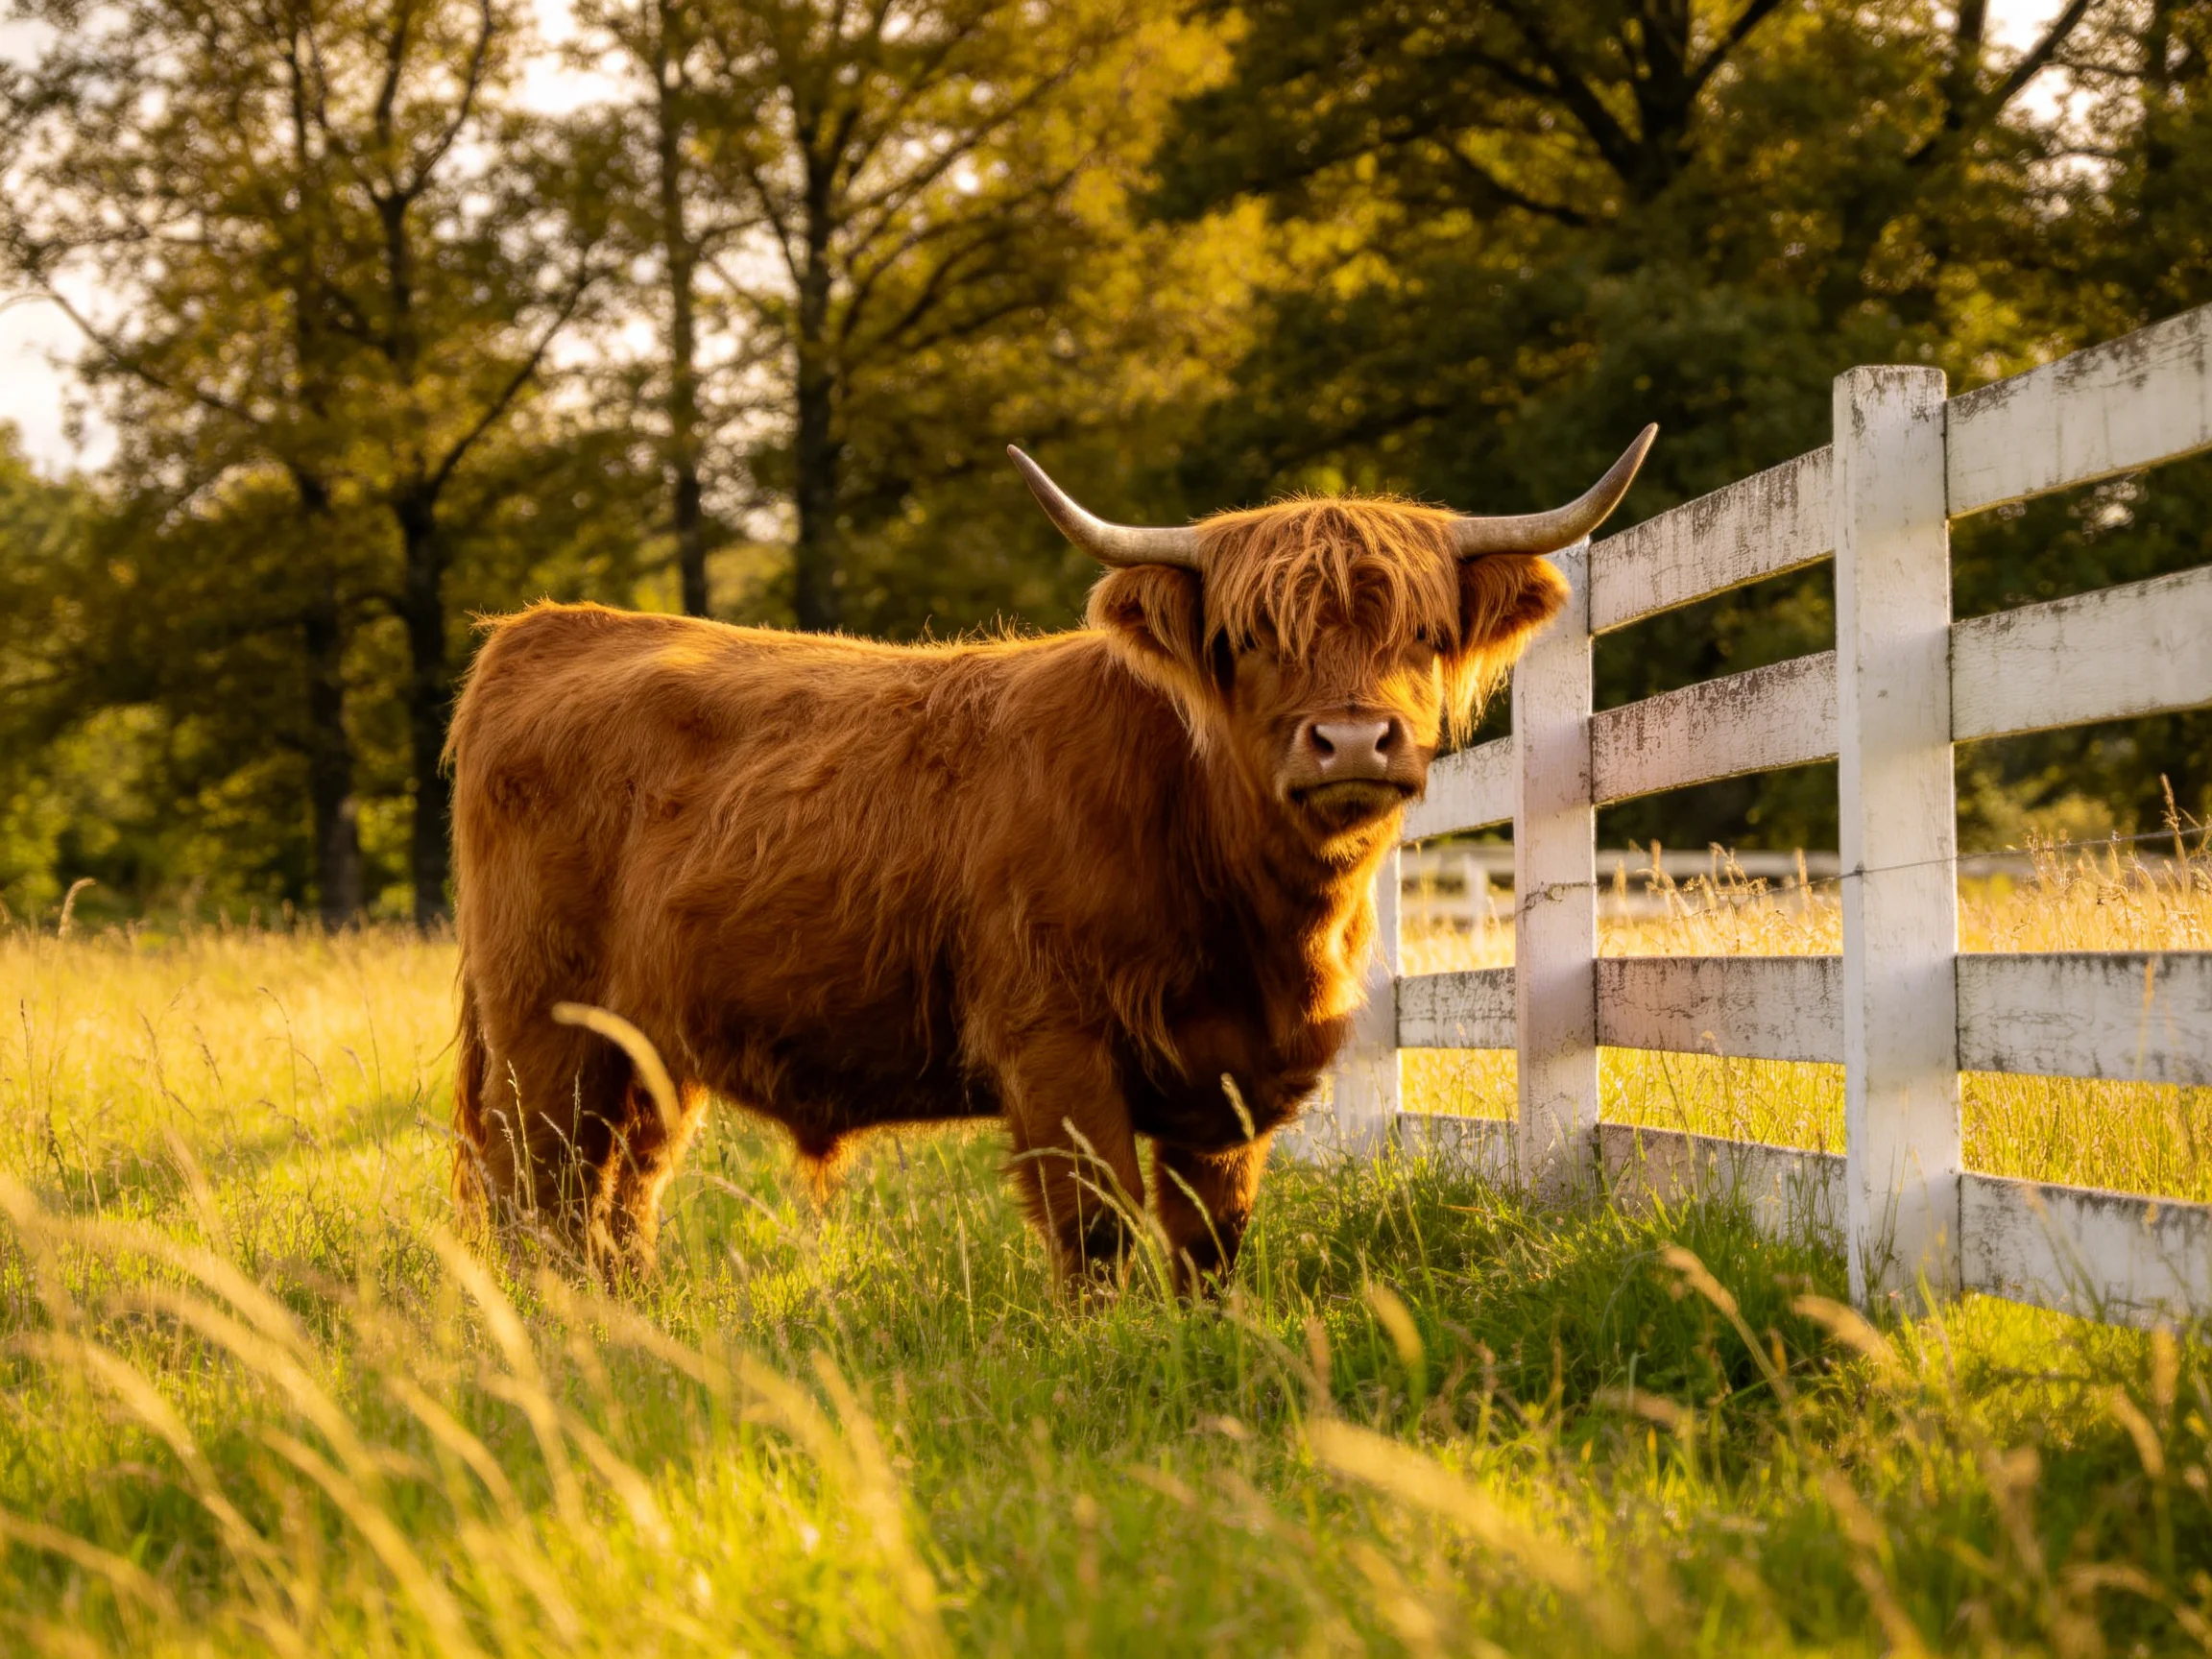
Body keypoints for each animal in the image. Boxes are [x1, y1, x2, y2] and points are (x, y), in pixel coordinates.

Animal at [445, 430, 1654, 1292]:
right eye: (1249, 639)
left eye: (1422, 634)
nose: (1352, 742)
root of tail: (545, 627)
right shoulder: (1053, 1038)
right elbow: (1098, 1224)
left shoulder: (1232, 1074)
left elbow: (1211, 1234)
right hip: (545, 1029)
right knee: (537, 1189)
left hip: (648, 1050)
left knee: (621, 1193)